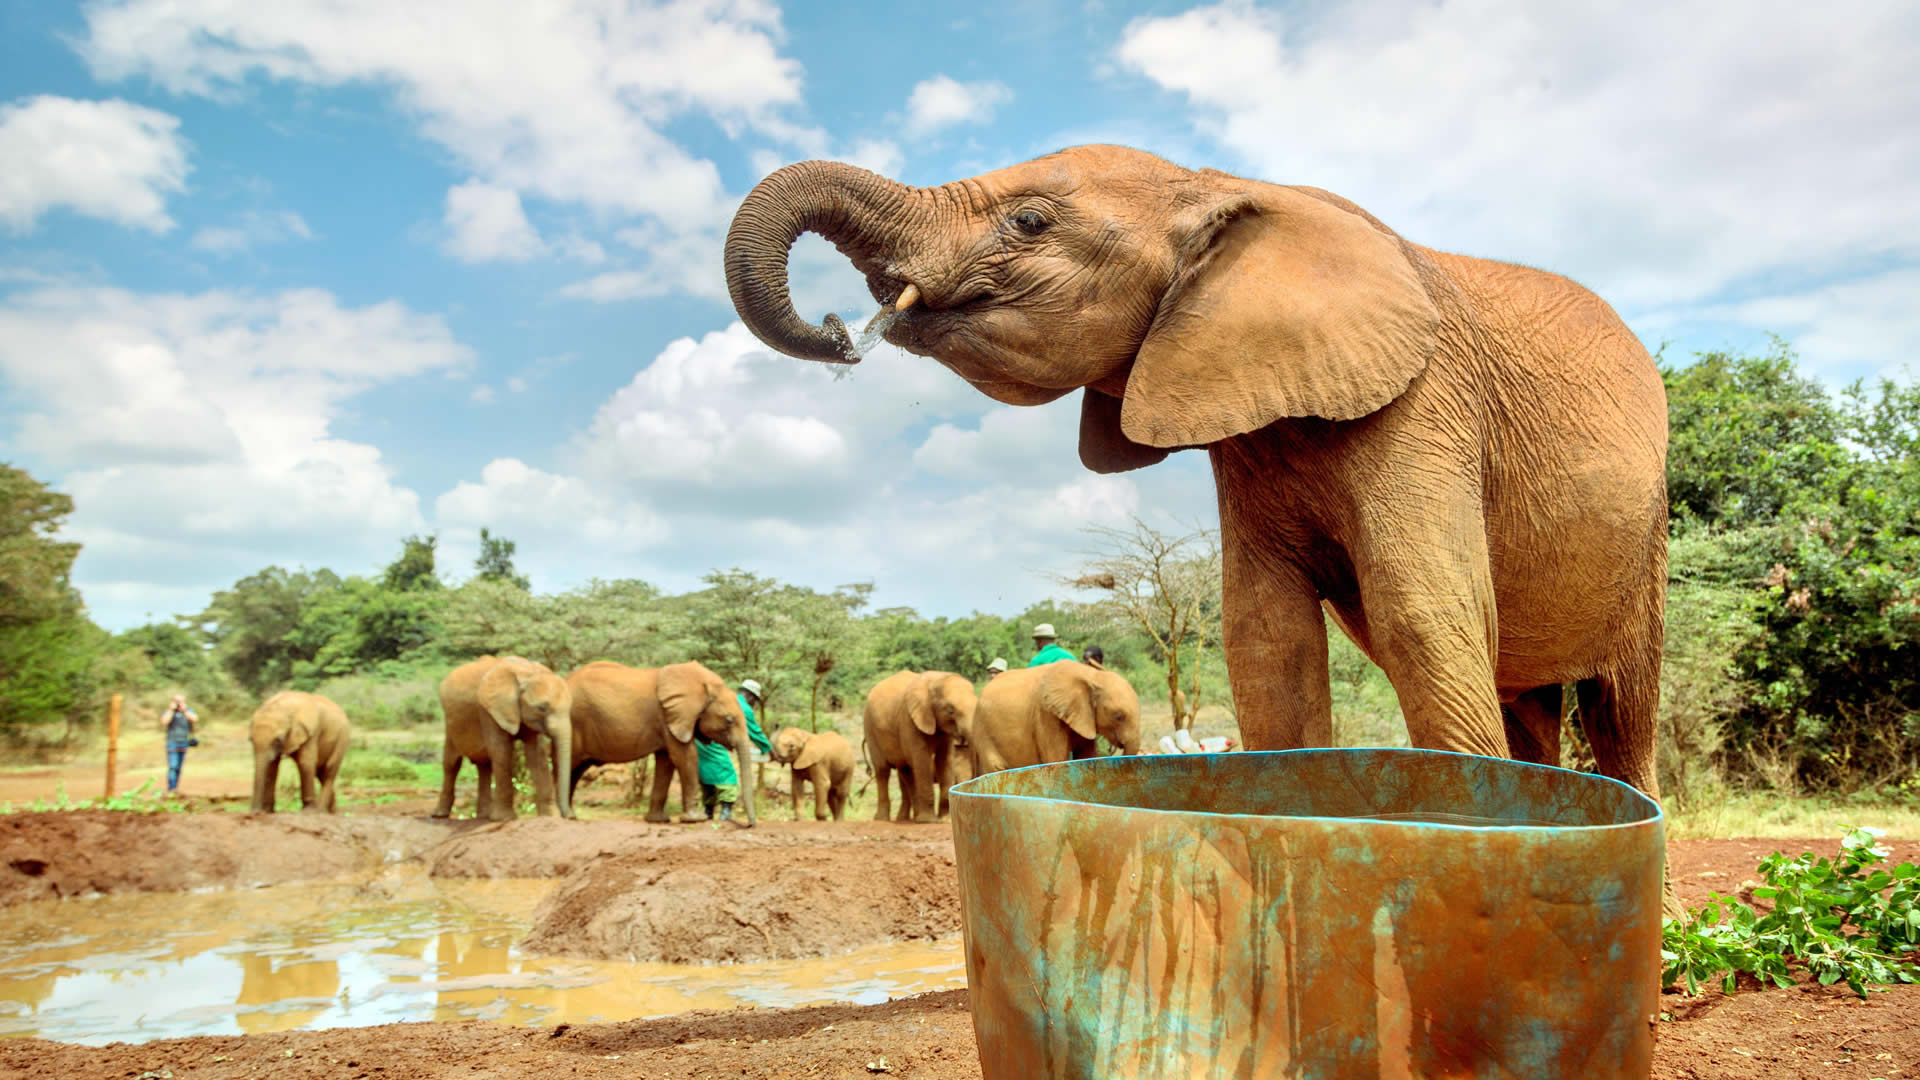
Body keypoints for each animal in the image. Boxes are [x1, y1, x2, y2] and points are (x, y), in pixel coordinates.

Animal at [975, 657, 1136, 772]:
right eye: (1118, 717)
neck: (1090, 676)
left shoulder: (1083, 715)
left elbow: (1086, 756)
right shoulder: (1045, 714)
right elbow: (1057, 760)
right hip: (983, 732)